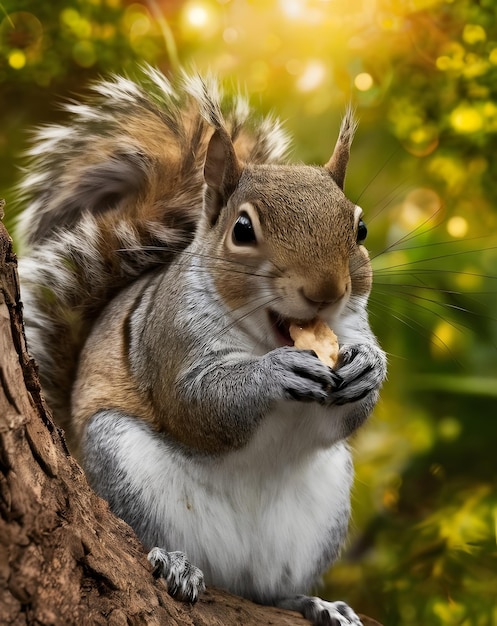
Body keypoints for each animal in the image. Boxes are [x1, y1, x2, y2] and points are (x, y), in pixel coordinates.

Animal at [14, 66, 388, 620]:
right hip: (125, 471)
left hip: (319, 513)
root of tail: (231, 574)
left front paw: (369, 368)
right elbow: (197, 405)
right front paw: (275, 373)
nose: (325, 292)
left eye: (360, 228)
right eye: (242, 230)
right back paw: (173, 561)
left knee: (270, 591)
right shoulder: (170, 337)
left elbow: (340, 418)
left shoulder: (351, 327)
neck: (264, 336)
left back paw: (315, 603)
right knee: (146, 537)